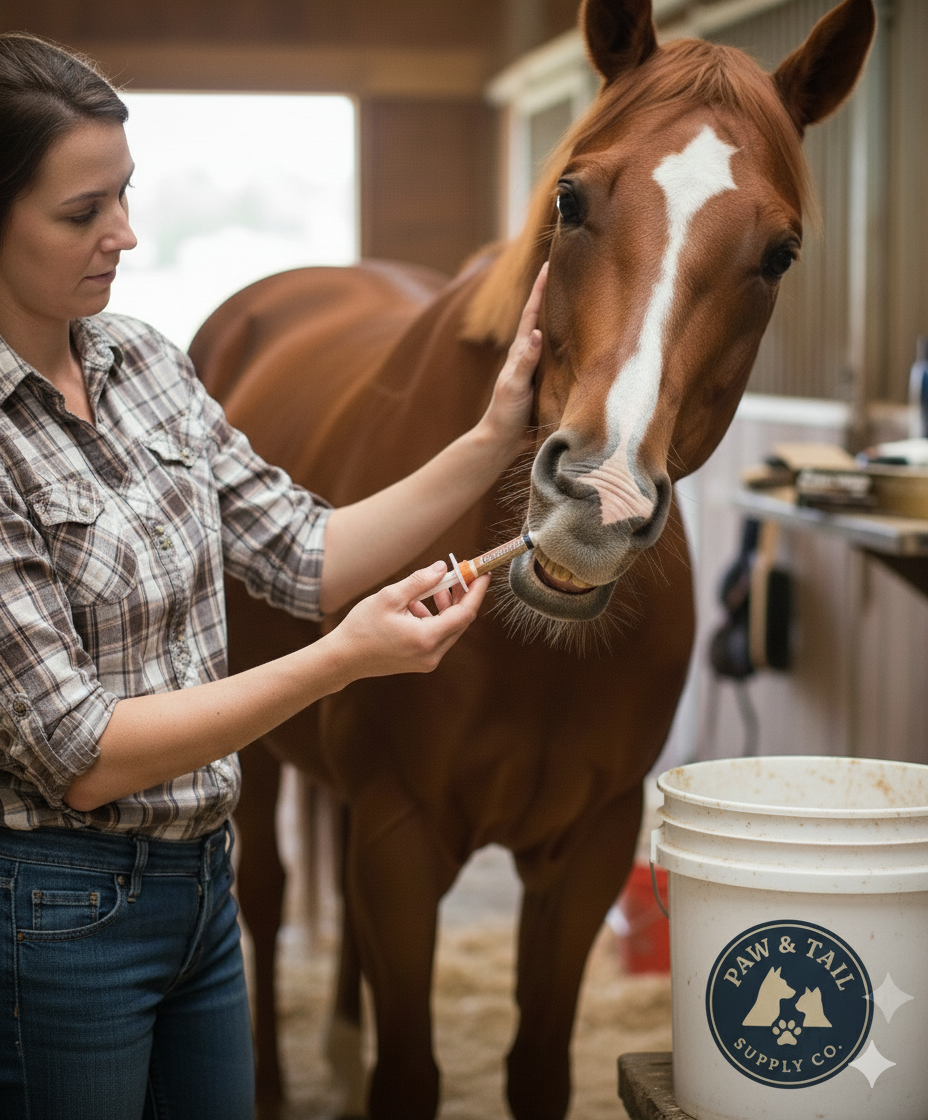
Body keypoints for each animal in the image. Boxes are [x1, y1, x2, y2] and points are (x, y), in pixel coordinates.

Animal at [188, 1, 875, 1116]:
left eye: (779, 253)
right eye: (570, 198)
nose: (598, 500)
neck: (530, 651)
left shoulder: (585, 849)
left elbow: (537, 1068)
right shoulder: (400, 840)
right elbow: (409, 1075)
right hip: (251, 743)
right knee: (266, 895)